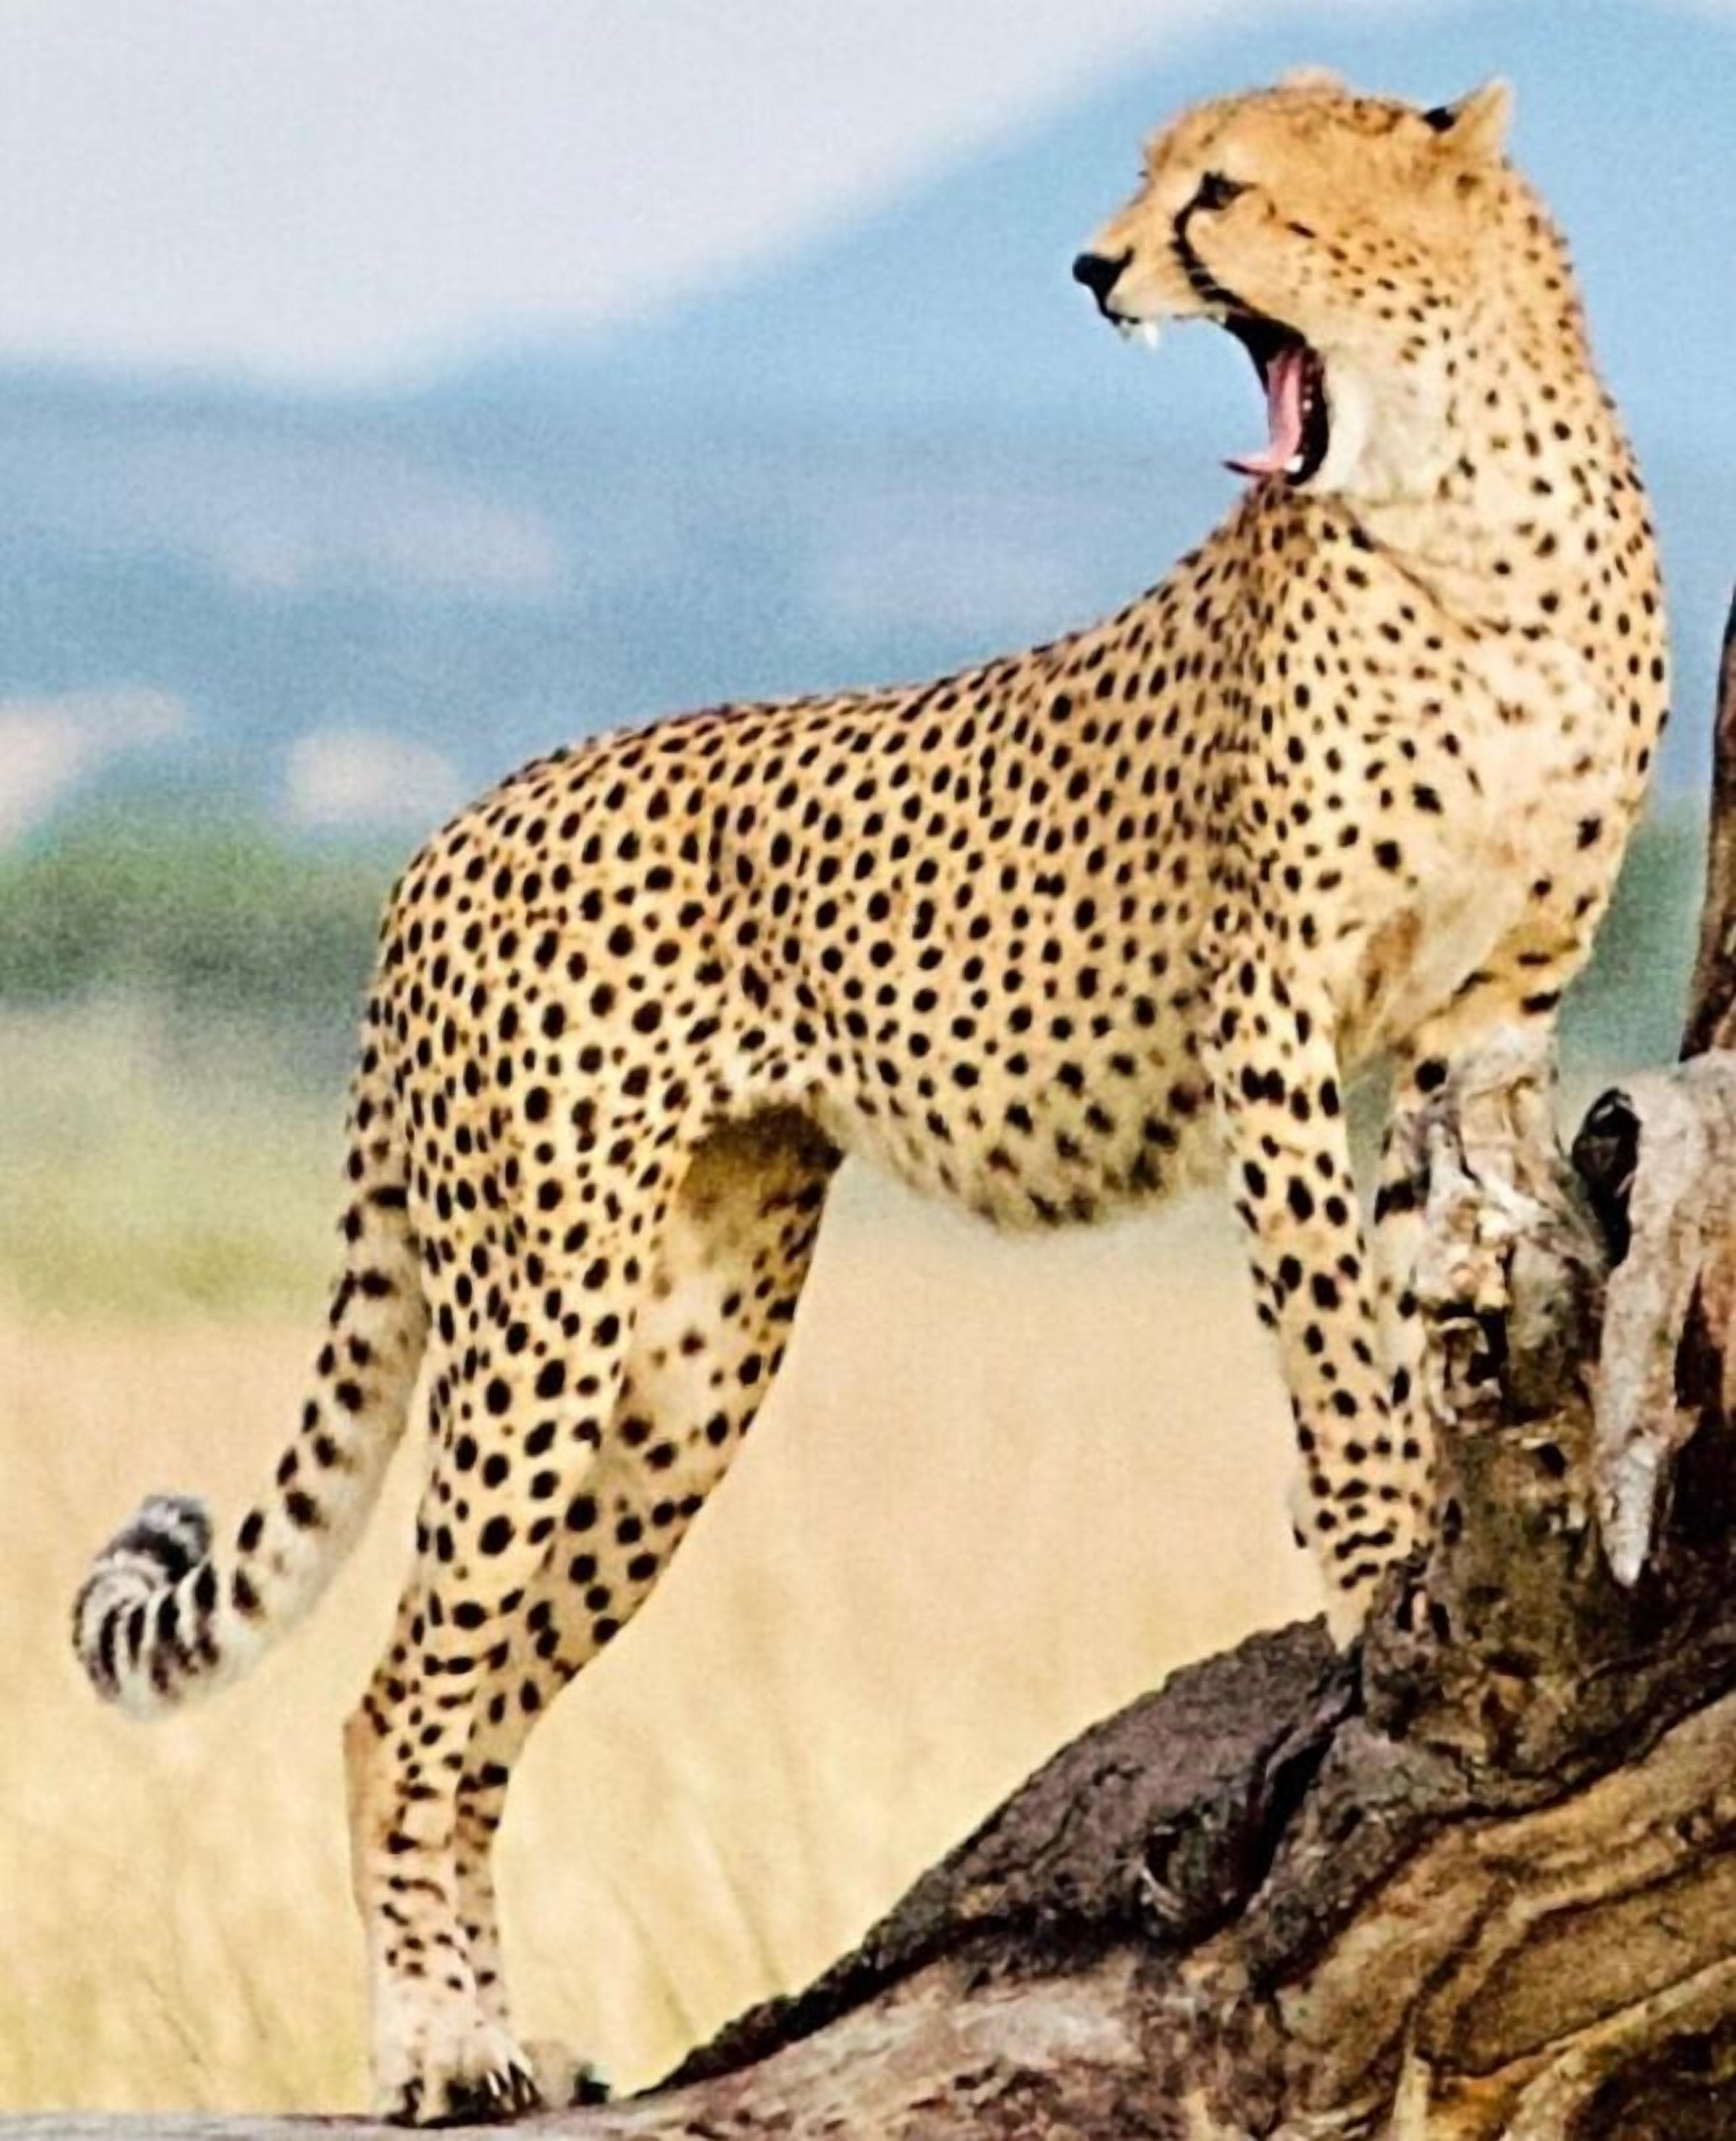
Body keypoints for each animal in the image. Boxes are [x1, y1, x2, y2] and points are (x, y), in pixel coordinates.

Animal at [73, 69, 1667, 2124]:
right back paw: (437, 2046)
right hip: (544, 1310)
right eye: (1151, 181)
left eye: (1218, 191)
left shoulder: (1484, 1022)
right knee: (397, 1698)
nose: (1090, 266)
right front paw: (1377, 1550)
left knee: (476, 1699)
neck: (1461, 512)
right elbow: (1325, 1330)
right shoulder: (1271, 1013)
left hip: (684, 1361)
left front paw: (1420, 1531)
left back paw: (508, 2030)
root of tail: (449, 825)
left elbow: (1419, 1281)